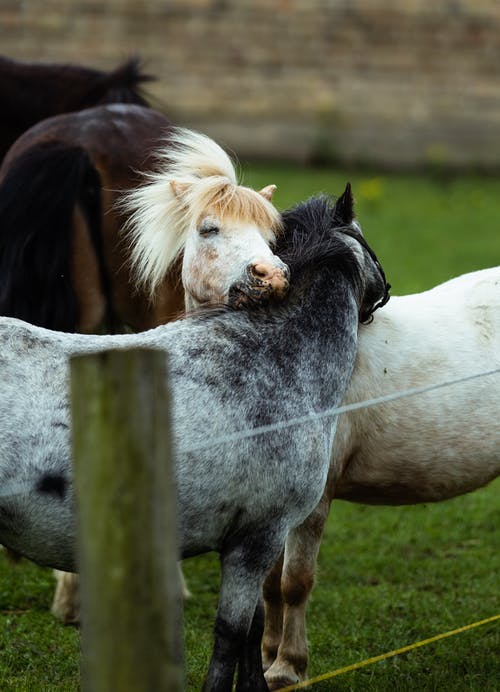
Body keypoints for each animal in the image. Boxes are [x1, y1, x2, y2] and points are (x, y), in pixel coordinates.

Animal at [0, 191, 390, 692]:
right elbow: (231, 634)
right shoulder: (258, 538)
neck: (271, 357)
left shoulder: (249, 543)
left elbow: (254, 629)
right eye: (366, 238)